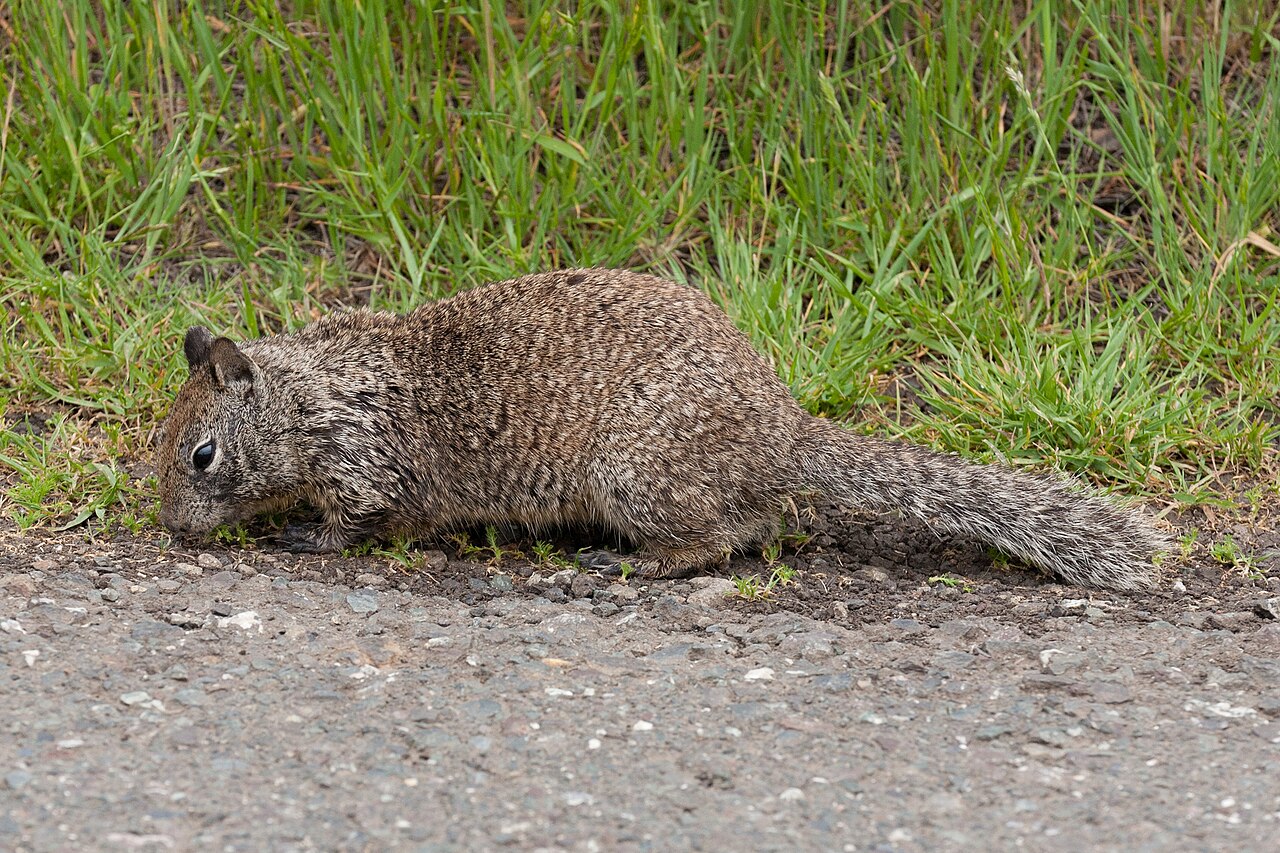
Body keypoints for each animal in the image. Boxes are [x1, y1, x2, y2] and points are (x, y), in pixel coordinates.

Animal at [157, 268, 1166, 590]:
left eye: (201, 454)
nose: (168, 528)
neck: (311, 393)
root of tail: (781, 428)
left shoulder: (366, 465)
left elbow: (359, 522)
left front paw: (304, 538)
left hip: (632, 473)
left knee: (712, 542)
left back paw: (631, 564)